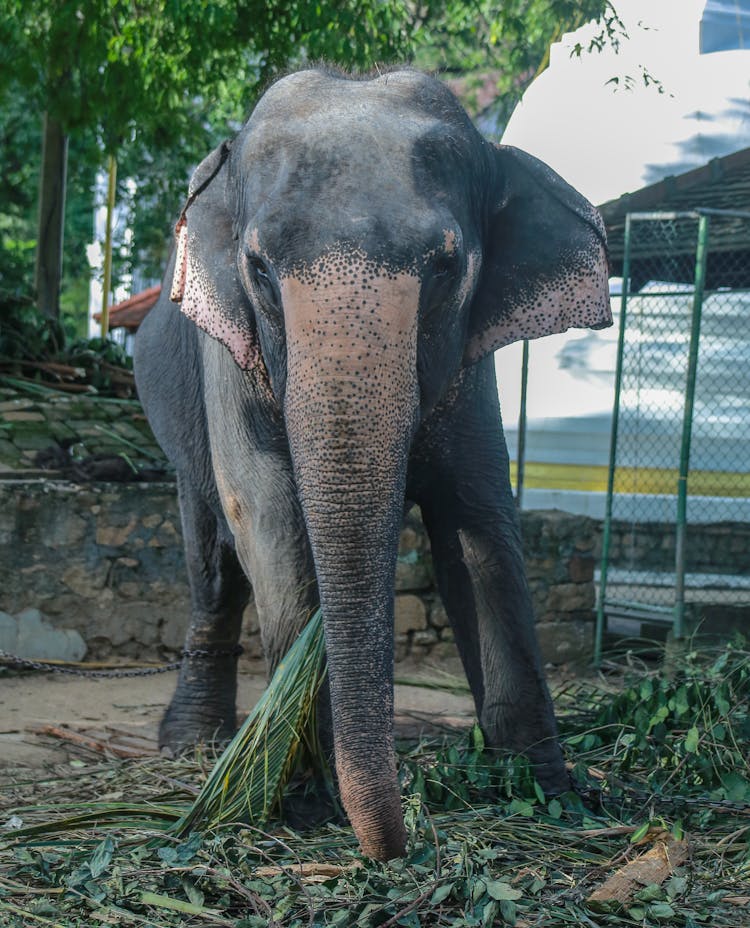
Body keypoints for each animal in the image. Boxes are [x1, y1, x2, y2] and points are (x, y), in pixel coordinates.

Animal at [135, 65, 612, 864]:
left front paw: (551, 792)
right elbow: (267, 515)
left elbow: (476, 524)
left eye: (447, 267)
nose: (393, 846)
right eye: (259, 269)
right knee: (213, 562)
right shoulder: (227, 359)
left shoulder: (469, 365)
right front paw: (302, 800)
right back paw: (191, 746)